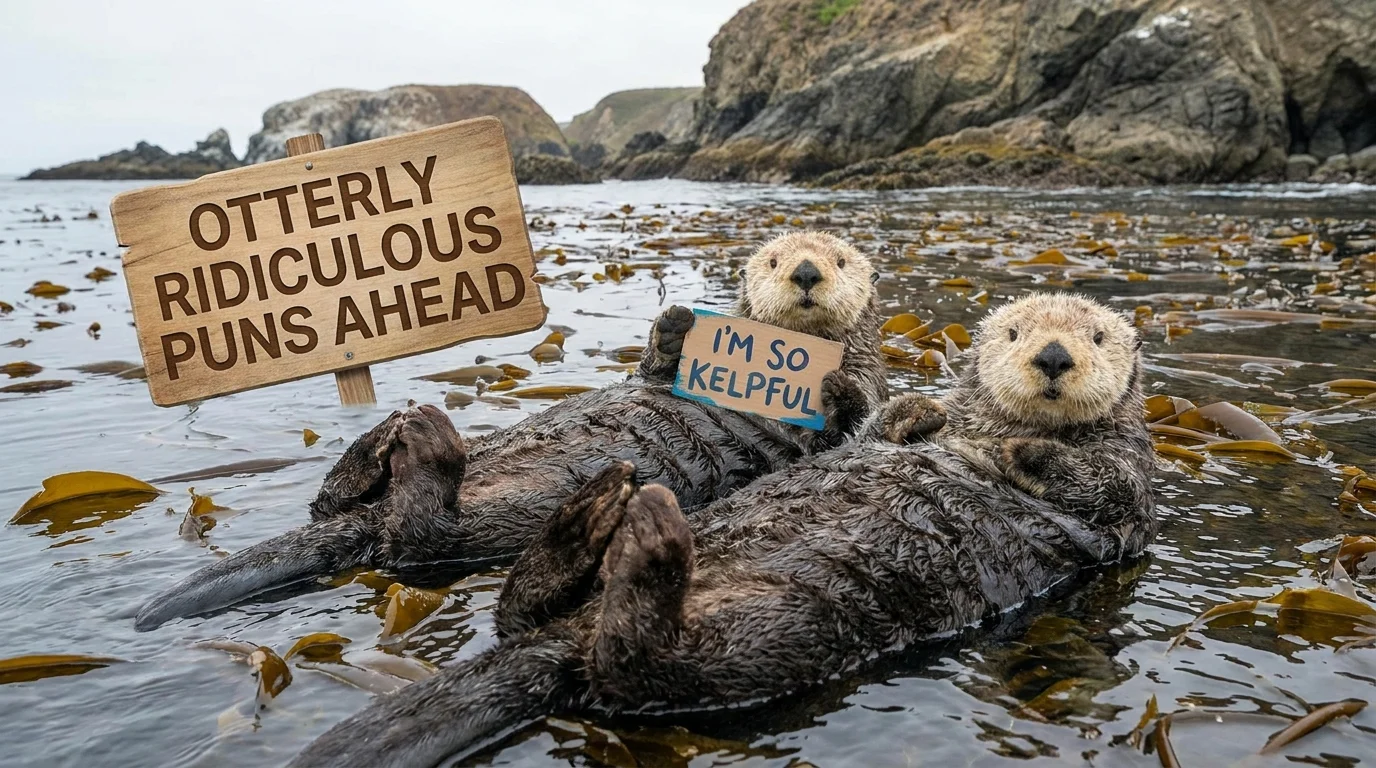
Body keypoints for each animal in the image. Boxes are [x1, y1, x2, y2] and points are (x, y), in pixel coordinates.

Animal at [135, 232, 888, 630]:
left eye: (843, 262)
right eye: (772, 261)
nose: (807, 271)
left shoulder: (862, 395)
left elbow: (857, 413)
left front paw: (830, 386)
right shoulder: (662, 371)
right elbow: (655, 368)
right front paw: (676, 324)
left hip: (496, 523)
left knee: (418, 535)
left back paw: (426, 444)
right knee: (334, 502)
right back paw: (385, 437)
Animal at [287, 293, 1156, 768]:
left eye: (1099, 338)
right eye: (1012, 334)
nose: (1053, 355)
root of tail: (562, 642)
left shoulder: (1129, 495)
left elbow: (1110, 488)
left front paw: (1021, 452)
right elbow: (880, 427)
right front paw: (921, 414)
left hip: (782, 628)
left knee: (628, 661)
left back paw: (640, 532)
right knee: (487, 589)